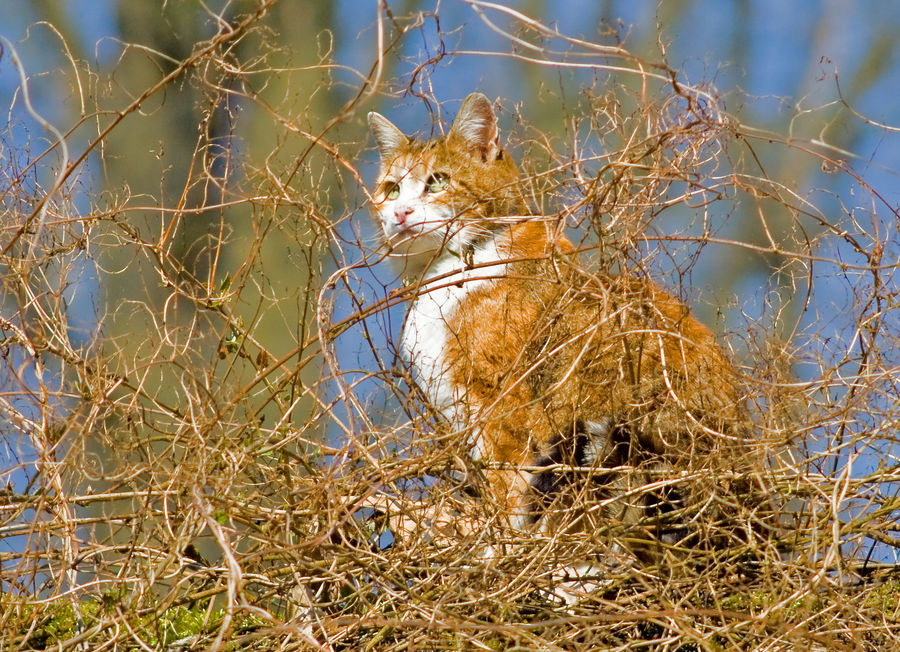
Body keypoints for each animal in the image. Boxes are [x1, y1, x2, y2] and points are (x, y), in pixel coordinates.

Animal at [368, 93, 744, 552]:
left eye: (438, 182)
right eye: (391, 189)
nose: (401, 213)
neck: (446, 271)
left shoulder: (502, 409)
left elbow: (507, 492)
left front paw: (498, 547)